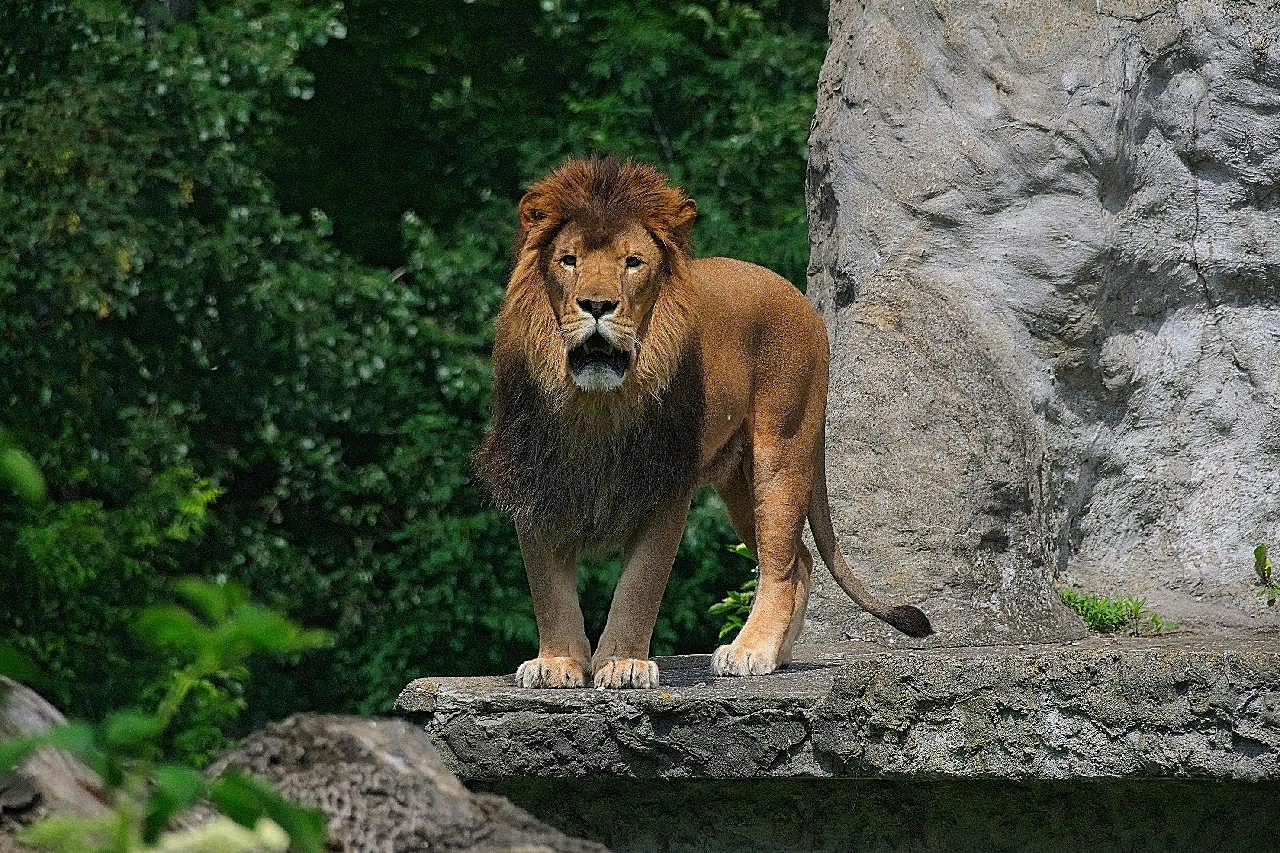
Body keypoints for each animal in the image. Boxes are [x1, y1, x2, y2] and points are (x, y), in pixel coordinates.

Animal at [476, 156, 936, 686]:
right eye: (568, 260)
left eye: (633, 263)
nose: (596, 305)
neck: (597, 405)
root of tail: (800, 298)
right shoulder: (533, 478)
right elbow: (548, 589)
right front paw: (558, 662)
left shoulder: (665, 485)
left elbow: (640, 583)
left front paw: (623, 663)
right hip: (738, 481)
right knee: (799, 558)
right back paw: (778, 654)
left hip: (782, 451)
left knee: (780, 563)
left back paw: (751, 651)